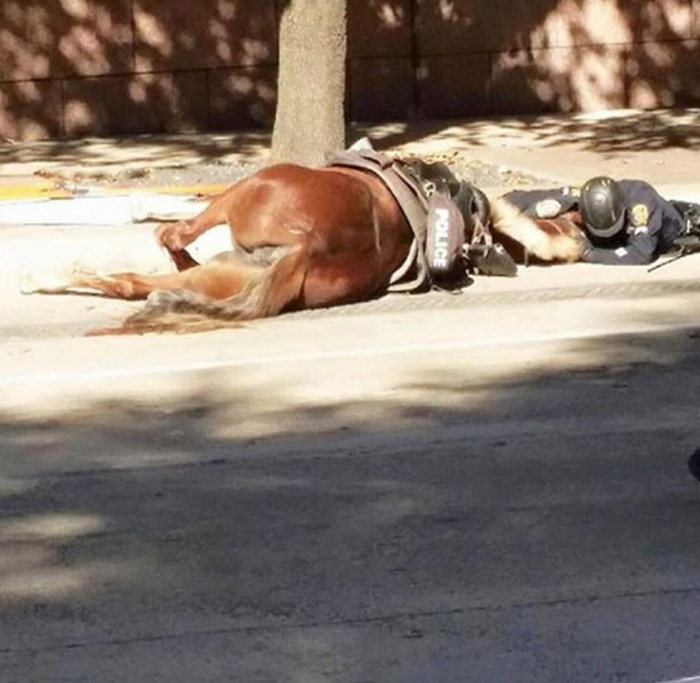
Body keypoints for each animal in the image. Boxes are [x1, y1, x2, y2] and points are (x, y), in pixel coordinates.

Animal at [19, 156, 584, 336]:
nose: (578, 237)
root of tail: (306, 249)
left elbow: (169, 228)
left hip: (242, 192)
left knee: (165, 246)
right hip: (221, 269)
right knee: (138, 282)